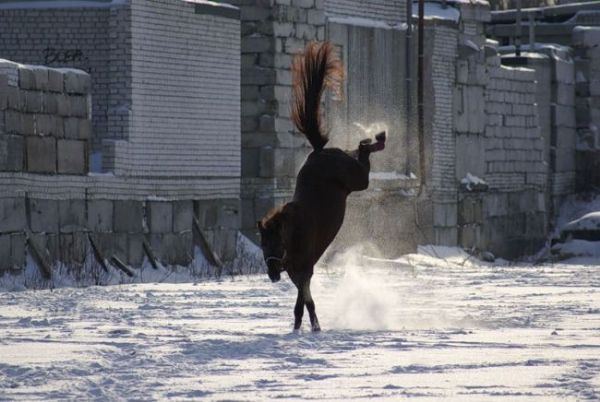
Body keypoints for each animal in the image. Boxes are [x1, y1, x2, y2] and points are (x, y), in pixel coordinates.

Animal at [258, 40, 384, 332]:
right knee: (359, 151)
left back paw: (377, 138)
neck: (294, 231)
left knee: (363, 154)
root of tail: (319, 151)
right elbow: (302, 303)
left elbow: (306, 301)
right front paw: (299, 328)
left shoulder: (305, 269)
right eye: (262, 244)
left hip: (358, 180)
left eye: (275, 241)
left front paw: (315, 329)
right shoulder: (297, 272)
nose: (272, 275)